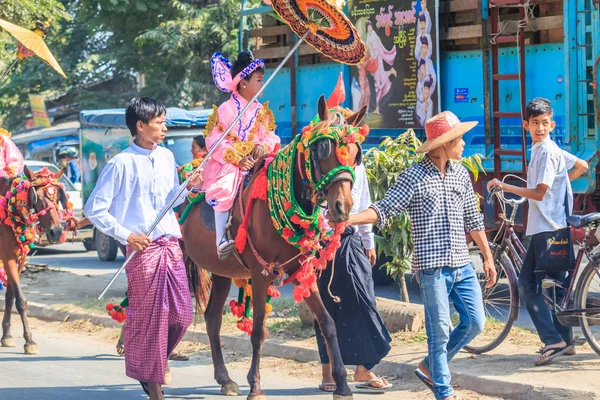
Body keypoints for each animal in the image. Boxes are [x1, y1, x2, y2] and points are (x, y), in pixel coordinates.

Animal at [0, 166, 66, 354]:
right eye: (38, 197)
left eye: (58, 197)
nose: (56, 231)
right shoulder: (7, 256)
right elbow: (21, 300)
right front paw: (29, 340)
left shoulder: (19, 259)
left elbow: (10, 296)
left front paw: (6, 335)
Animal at [184, 97, 366, 400]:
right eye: (322, 149)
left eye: (355, 154)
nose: (343, 207)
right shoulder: (261, 274)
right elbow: (258, 330)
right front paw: (255, 386)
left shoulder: (302, 270)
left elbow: (328, 323)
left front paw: (342, 385)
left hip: (221, 271)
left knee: (212, 318)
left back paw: (224, 379)